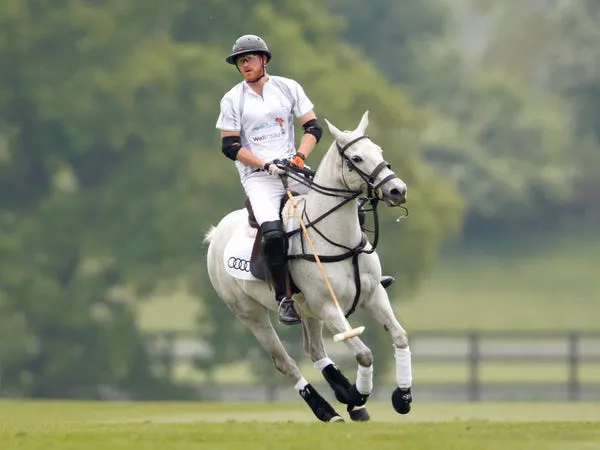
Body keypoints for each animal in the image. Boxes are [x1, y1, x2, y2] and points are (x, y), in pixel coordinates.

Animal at [206, 112, 412, 422]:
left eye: (379, 151)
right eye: (356, 158)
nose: (397, 190)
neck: (340, 240)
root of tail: (216, 231)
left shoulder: (375, 294)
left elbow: (399, 336)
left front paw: (402, 397)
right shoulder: (329, 306)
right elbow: (364, 353)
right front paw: (360, 393)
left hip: (308, 309)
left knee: (314, 350)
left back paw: (346, 398)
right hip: (250, 312)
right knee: (285, 361)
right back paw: (328, 409)